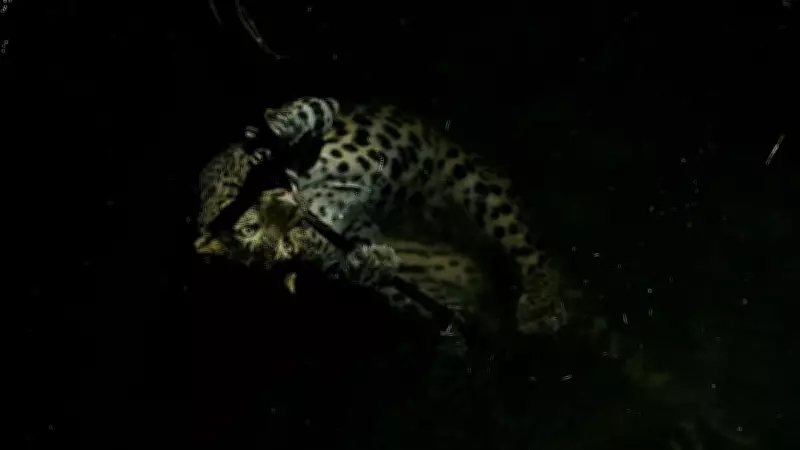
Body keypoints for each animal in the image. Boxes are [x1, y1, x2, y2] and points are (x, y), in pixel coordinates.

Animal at [194, 96, 570, 339]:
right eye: (281, 247)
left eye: (249, 226)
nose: (290, 207)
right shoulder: (344, 225)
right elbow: (354, 245)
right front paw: (371, 262)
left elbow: (311, 111)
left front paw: (280, 126)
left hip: (470, 178)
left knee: (527, 245)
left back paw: (543, 304)